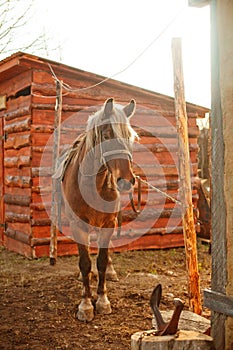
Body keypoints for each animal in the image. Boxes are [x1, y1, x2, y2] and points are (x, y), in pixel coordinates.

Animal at [62, 97, 138, 322]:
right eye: (106, 135)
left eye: (130, 137)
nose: (126, 181)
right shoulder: (78, 225)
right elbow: (85, 262)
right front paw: (86, 304)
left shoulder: (108, 224)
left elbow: (102, 261)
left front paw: (103, 300)